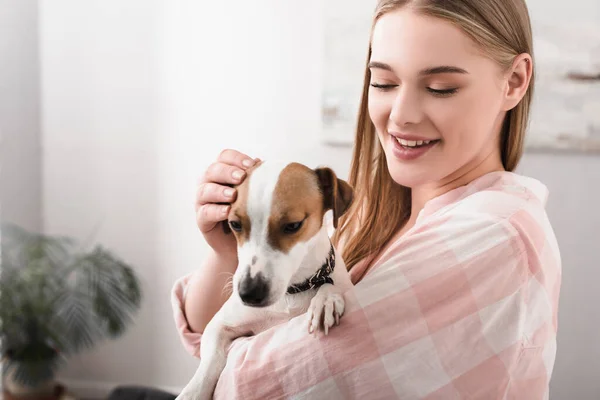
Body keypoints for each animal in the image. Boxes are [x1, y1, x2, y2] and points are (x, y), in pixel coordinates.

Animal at [177, 160, 356, 400]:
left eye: (293, 225)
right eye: (234, 224)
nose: (248, 294)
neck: (291, 291)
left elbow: (329, 285)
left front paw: (325, 300)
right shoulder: (219, 325)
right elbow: (210, 361)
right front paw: (193, 391)